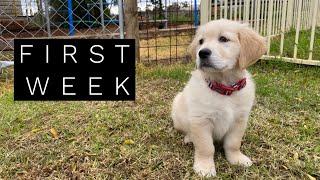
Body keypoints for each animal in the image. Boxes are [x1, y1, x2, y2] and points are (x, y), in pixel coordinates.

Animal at [171, 19, 266, 176]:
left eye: (223, 39)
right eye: (201, 41)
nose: (202, 53)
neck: (224, 89)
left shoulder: (239, 120)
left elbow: (233, 143)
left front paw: (237, 158)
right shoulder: (201, 121)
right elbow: (206, 147)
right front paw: (204, 167)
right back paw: (189, 138)